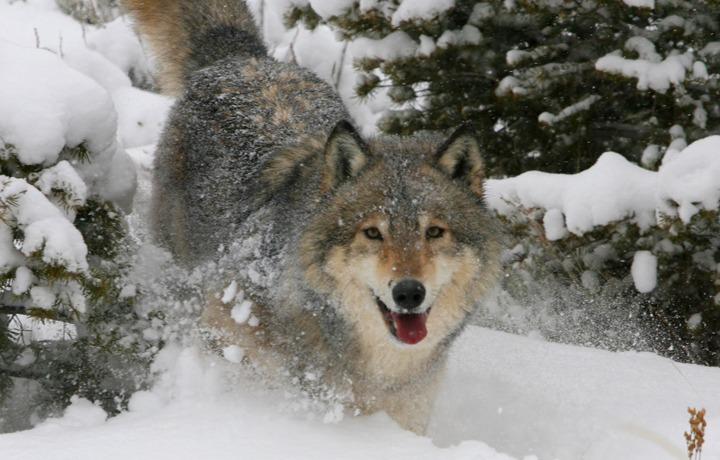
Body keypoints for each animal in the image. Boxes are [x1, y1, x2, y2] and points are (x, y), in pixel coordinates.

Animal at [124, 0, 502, 434]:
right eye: (373, 233)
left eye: (435, 232)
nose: (409, 293)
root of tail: (247, 58)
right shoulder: (222, 319)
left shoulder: (407, 413)